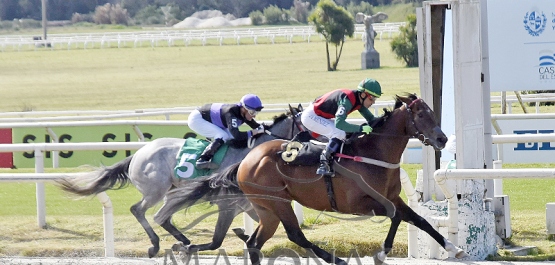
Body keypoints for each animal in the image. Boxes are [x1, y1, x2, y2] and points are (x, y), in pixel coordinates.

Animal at [55, 104, 304, 256]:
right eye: (305, 124)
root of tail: (138, 154)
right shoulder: (229, 201)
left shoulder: (248, 203)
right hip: (156, 190)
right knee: (140, 210)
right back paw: (156, 245)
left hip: (172, 191)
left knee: (162, 216)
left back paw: (182, 241)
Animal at [235, 94, 470, 262]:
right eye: (421, 115)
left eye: (432, 112)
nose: (442, 139)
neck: (374, 153)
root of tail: (246, 160)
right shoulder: (357, 204)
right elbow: (396, 217)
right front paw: (381, 254)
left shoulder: (393, 198)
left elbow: (419, 220)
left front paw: (454, 247)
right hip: (278, 202)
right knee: (295, 235)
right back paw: (336, 260)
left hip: (267, 208)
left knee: (255, 243)